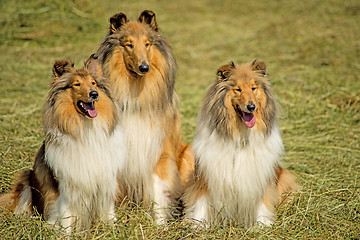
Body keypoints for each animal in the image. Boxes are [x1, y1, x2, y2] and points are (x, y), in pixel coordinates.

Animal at [0, 56, 125, 232]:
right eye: (76, 84)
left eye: (93, 83)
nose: (94, 94)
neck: (85, 128)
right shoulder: (66, 185)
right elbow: (66, 216)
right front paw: (65, 234)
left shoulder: (106, 181)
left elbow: (108, 212)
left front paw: (112, 230)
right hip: (25, 179)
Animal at [94, 9, 193, 223]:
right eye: (129, 44)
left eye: (147, 44)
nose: (144, 67)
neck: (136, 94)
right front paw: (110, 222)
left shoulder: (158, 151)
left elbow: (158, 190)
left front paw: (160, 224)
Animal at [184, 60, 296, 227]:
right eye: (238, 89)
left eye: (253, 88)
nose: (251, 107)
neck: (241, 135)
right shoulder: (206, 174)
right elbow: (200, 201)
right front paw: (199, 225)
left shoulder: (260, 175)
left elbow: (263, 201)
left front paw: (262, 226)